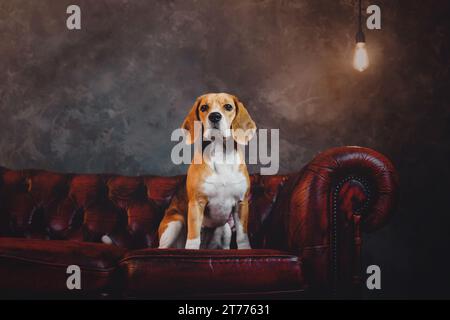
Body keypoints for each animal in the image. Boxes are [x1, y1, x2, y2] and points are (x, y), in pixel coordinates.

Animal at [158, 92, 256, 250]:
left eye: (228, 106)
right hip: (175, 223)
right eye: (204, 107)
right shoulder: (196, 203)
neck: (220, 153)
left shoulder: (242, 203)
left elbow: (242, 236)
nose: (214, 116)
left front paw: (245, 250)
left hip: (226, 228)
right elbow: (193, 237)